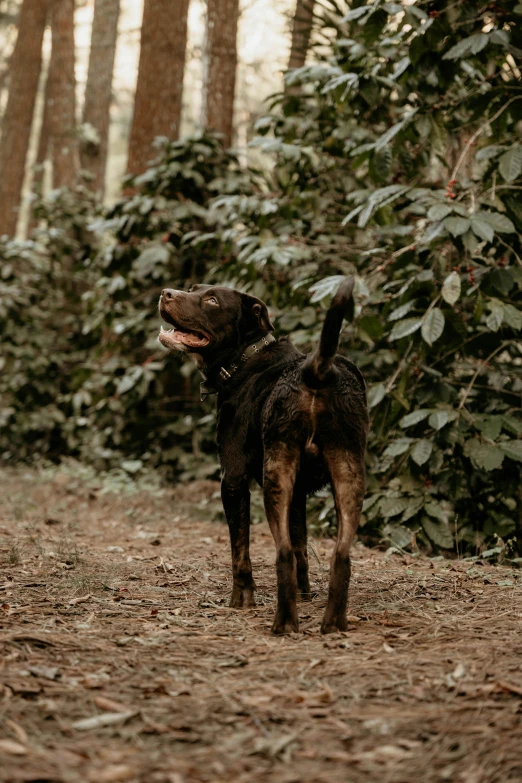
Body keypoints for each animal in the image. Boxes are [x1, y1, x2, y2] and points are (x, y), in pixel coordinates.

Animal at [158, 278, 366, 632]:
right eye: (192, 288)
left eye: (212, 301)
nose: (165, 293)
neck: (244, 358)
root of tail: (319, 370)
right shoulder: (299, 494)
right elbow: (301, 546)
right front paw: (305, 593)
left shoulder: (233, 480)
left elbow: (240, 549)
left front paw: (241, 599)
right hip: (348, 471)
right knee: (340, 555)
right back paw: (334, 623)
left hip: (276, 476)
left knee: (281, 552)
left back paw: (284, 623)